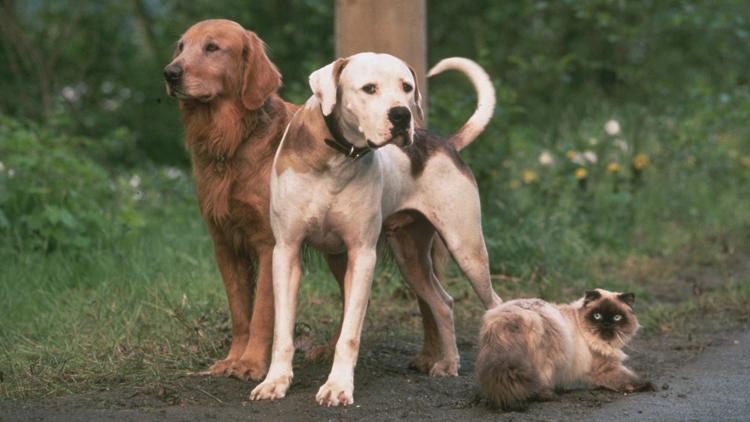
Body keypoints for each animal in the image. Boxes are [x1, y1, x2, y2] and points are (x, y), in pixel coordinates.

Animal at [165, 19, 464, 380]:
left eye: (212, 47)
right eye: (181, 46)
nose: (170, 73)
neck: (236, 141)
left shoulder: (269, 243)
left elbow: (262, 313)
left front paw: (251, 363)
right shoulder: (225, 243)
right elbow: (240, 313)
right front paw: (233, 359)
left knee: (430, 300)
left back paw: (432, 356)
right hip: (352, 250)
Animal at [251, 52, 506, 406]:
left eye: (407, 87)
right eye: (369, 88)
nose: (401, 115)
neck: (337, 157)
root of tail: (446, 143)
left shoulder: (362, 255)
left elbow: (349, 334)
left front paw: (337, 387)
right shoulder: (286, 252)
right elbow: (283, 330)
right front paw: (275, 381)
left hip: (467, 249)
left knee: (495, 304)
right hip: (411, 258)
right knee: (443, 302)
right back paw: (448, 363)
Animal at [478, 288, 656, 410]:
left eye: (617, 317)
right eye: (597, 316)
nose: (606, 324)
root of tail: (510, 318)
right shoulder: (605, 369)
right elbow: (629, 378)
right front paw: (649, 386)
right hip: (552, 355)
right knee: (541, 380)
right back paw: (549, 396)